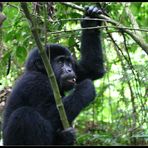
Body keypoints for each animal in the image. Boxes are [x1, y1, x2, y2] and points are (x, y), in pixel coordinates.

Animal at [2, 5, 105, 145]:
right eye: (60, 62)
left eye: (69, 62)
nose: (69, 70)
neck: (43, 73)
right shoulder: (36, 83)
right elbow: (49, 113)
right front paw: (86, 88)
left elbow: (91, 68)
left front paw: (91, 21)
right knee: (25, 114)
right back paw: (62, 139)